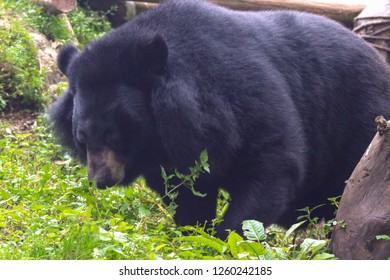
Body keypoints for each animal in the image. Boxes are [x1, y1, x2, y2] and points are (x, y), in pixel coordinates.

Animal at [49, 0, 390, 234]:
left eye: (116, 136)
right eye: (81, 138)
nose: (100, 179)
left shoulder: (243, 96)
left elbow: (271, 163)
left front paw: (226, 238)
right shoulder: (172, 156)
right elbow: (187, 194)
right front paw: (192, 234)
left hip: (355, 124)